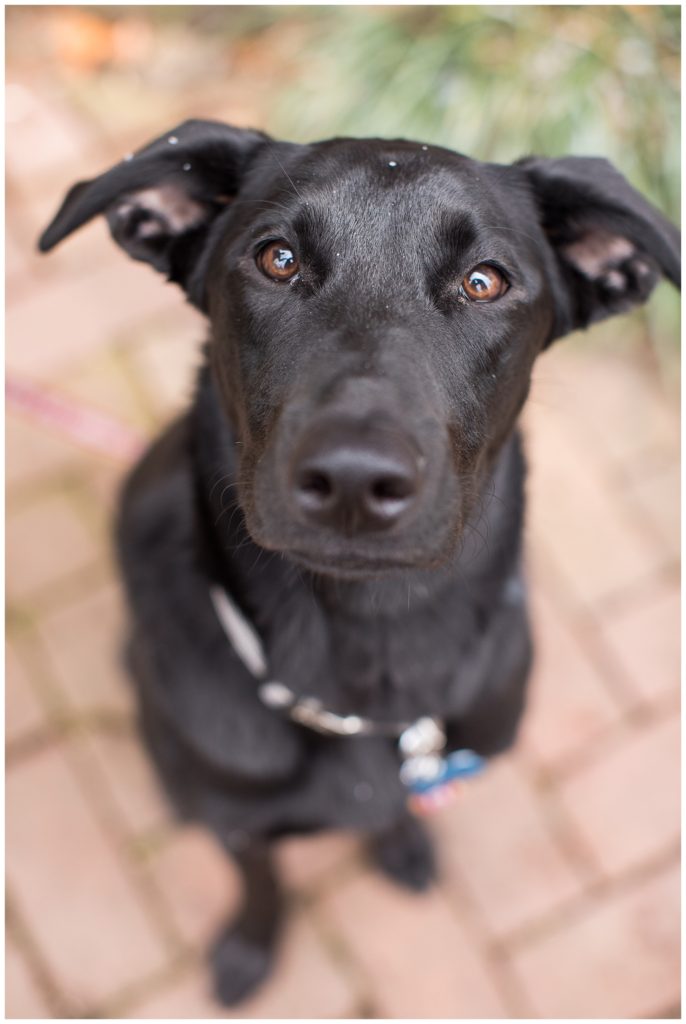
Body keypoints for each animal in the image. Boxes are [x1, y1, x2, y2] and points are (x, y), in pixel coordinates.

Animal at [38, 117, 683, 999]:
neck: (367, 655)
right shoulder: (236, 820)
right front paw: (250, 948)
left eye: (485, 281)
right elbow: (260, 879)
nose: (353, 479)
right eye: (277, 258)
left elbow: (395, 810)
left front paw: (401, 842)